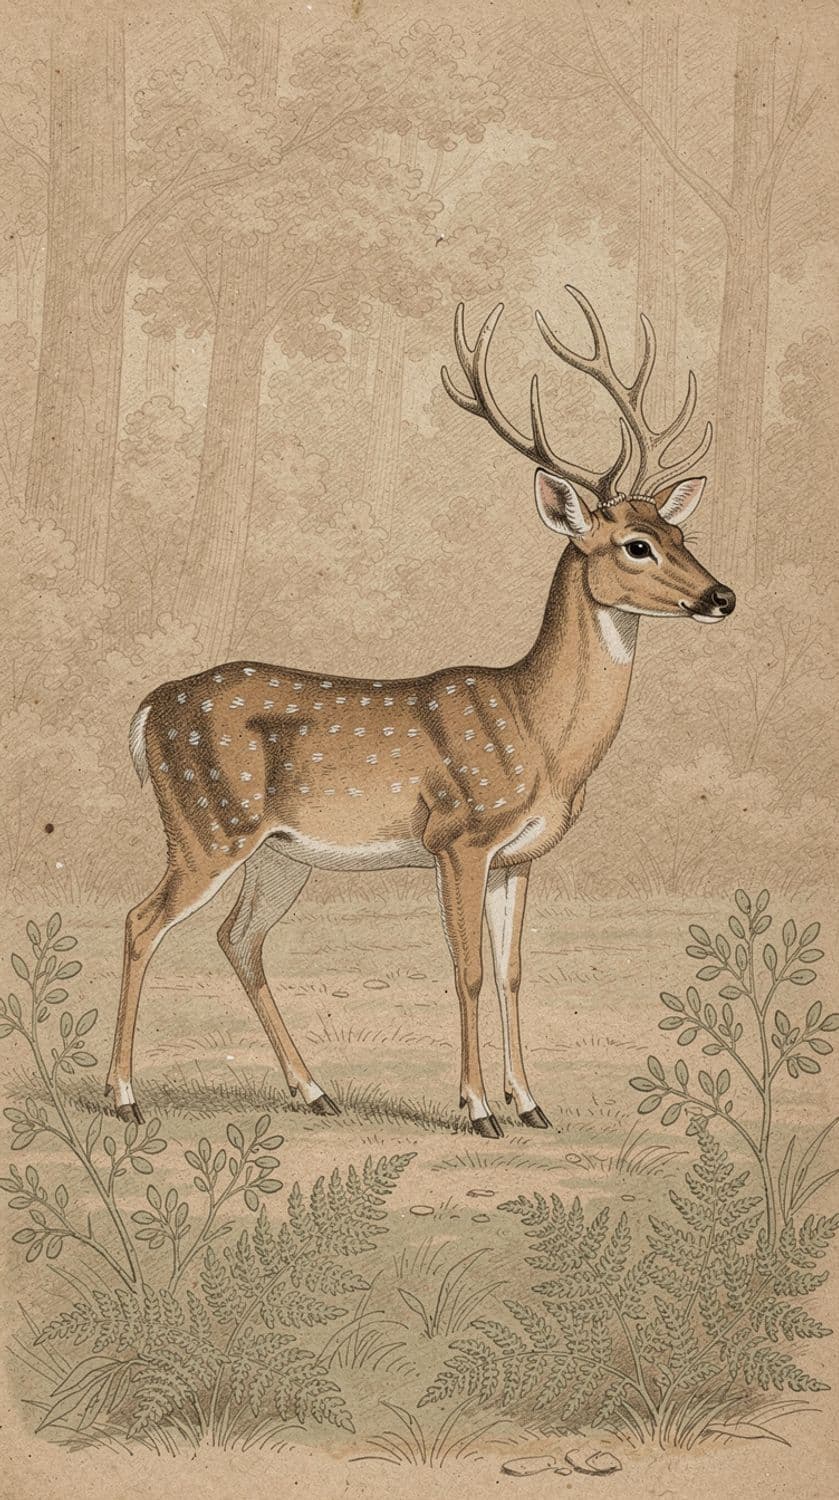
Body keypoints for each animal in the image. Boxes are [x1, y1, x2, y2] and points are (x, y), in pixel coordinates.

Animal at [108, 285, 735, 1136]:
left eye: (679, 529)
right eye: (635, 545)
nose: (721, 596)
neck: (540, 736)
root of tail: (147, 710)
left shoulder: (519, 857)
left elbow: (510, 972)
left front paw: (531, 1104)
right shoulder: (459, 835)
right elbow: (466, 969)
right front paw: (477, 1109)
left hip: (278, 852)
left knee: (238, 938)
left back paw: (315, 1091)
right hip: (208, 826)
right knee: (141, 923)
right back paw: (124, 1097)